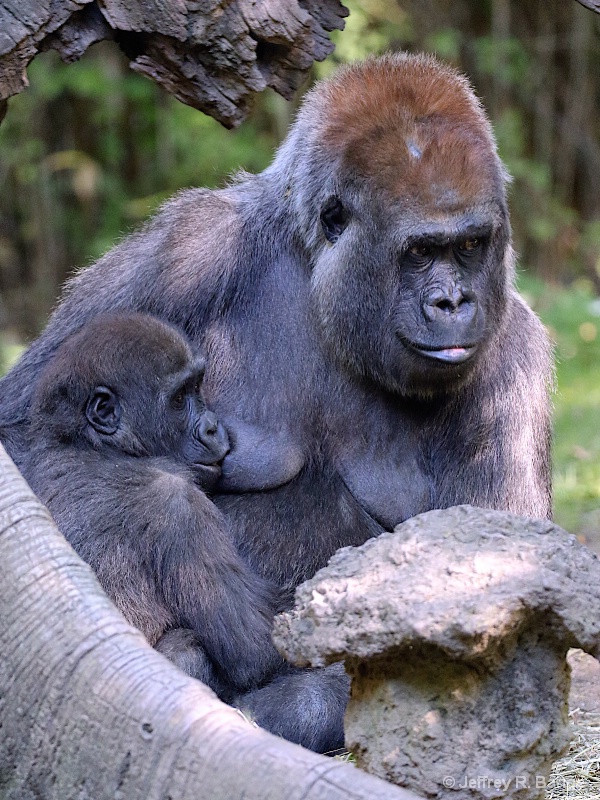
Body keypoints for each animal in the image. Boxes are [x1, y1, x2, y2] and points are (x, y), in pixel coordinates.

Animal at [1, 54, 552, 612]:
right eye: (420, 251)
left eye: (470, 245)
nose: (453, 303)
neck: (321, 281)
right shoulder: (191, 245)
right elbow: (23, 426)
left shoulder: (514, 354)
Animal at [22, 312, 286, 700]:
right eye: (179, 398)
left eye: (197, 386)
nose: (213, 427)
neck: (90, 444)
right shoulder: (180, 503)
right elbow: (256, 650)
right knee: (187, 648)